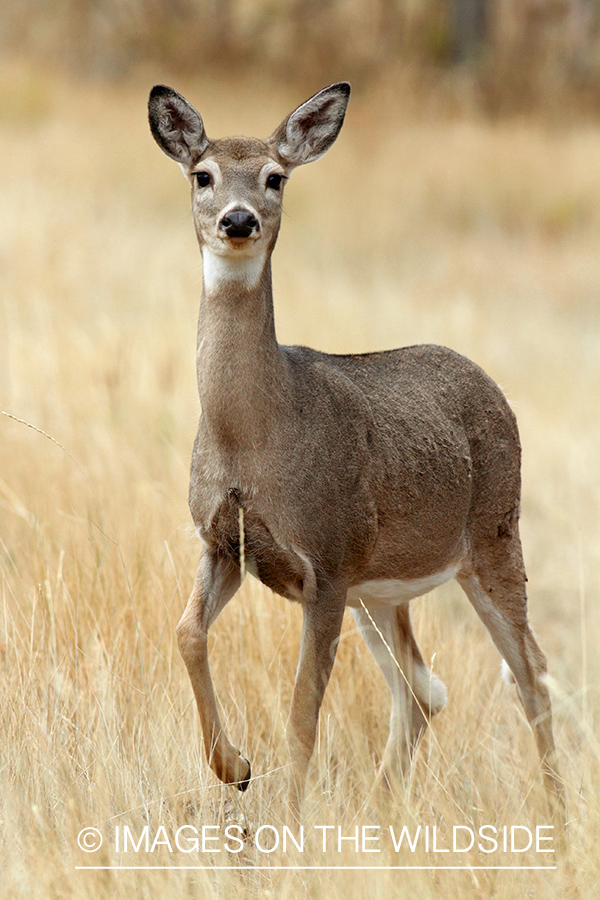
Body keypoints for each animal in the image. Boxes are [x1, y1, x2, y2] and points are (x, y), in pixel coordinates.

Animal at [148, 81, 564, 820]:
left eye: (275, 177)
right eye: (202, 174)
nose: (237, 221)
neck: (253, 436)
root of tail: (488, 381)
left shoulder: (328, 559)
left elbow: (301, 712)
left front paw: (285, 818)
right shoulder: (223, 542)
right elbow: (186, 633)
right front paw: (235, 767)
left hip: (493, 534)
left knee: (531, 674)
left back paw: (559, 818)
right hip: (383, 587)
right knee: (423, 688)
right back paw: (381, 807)